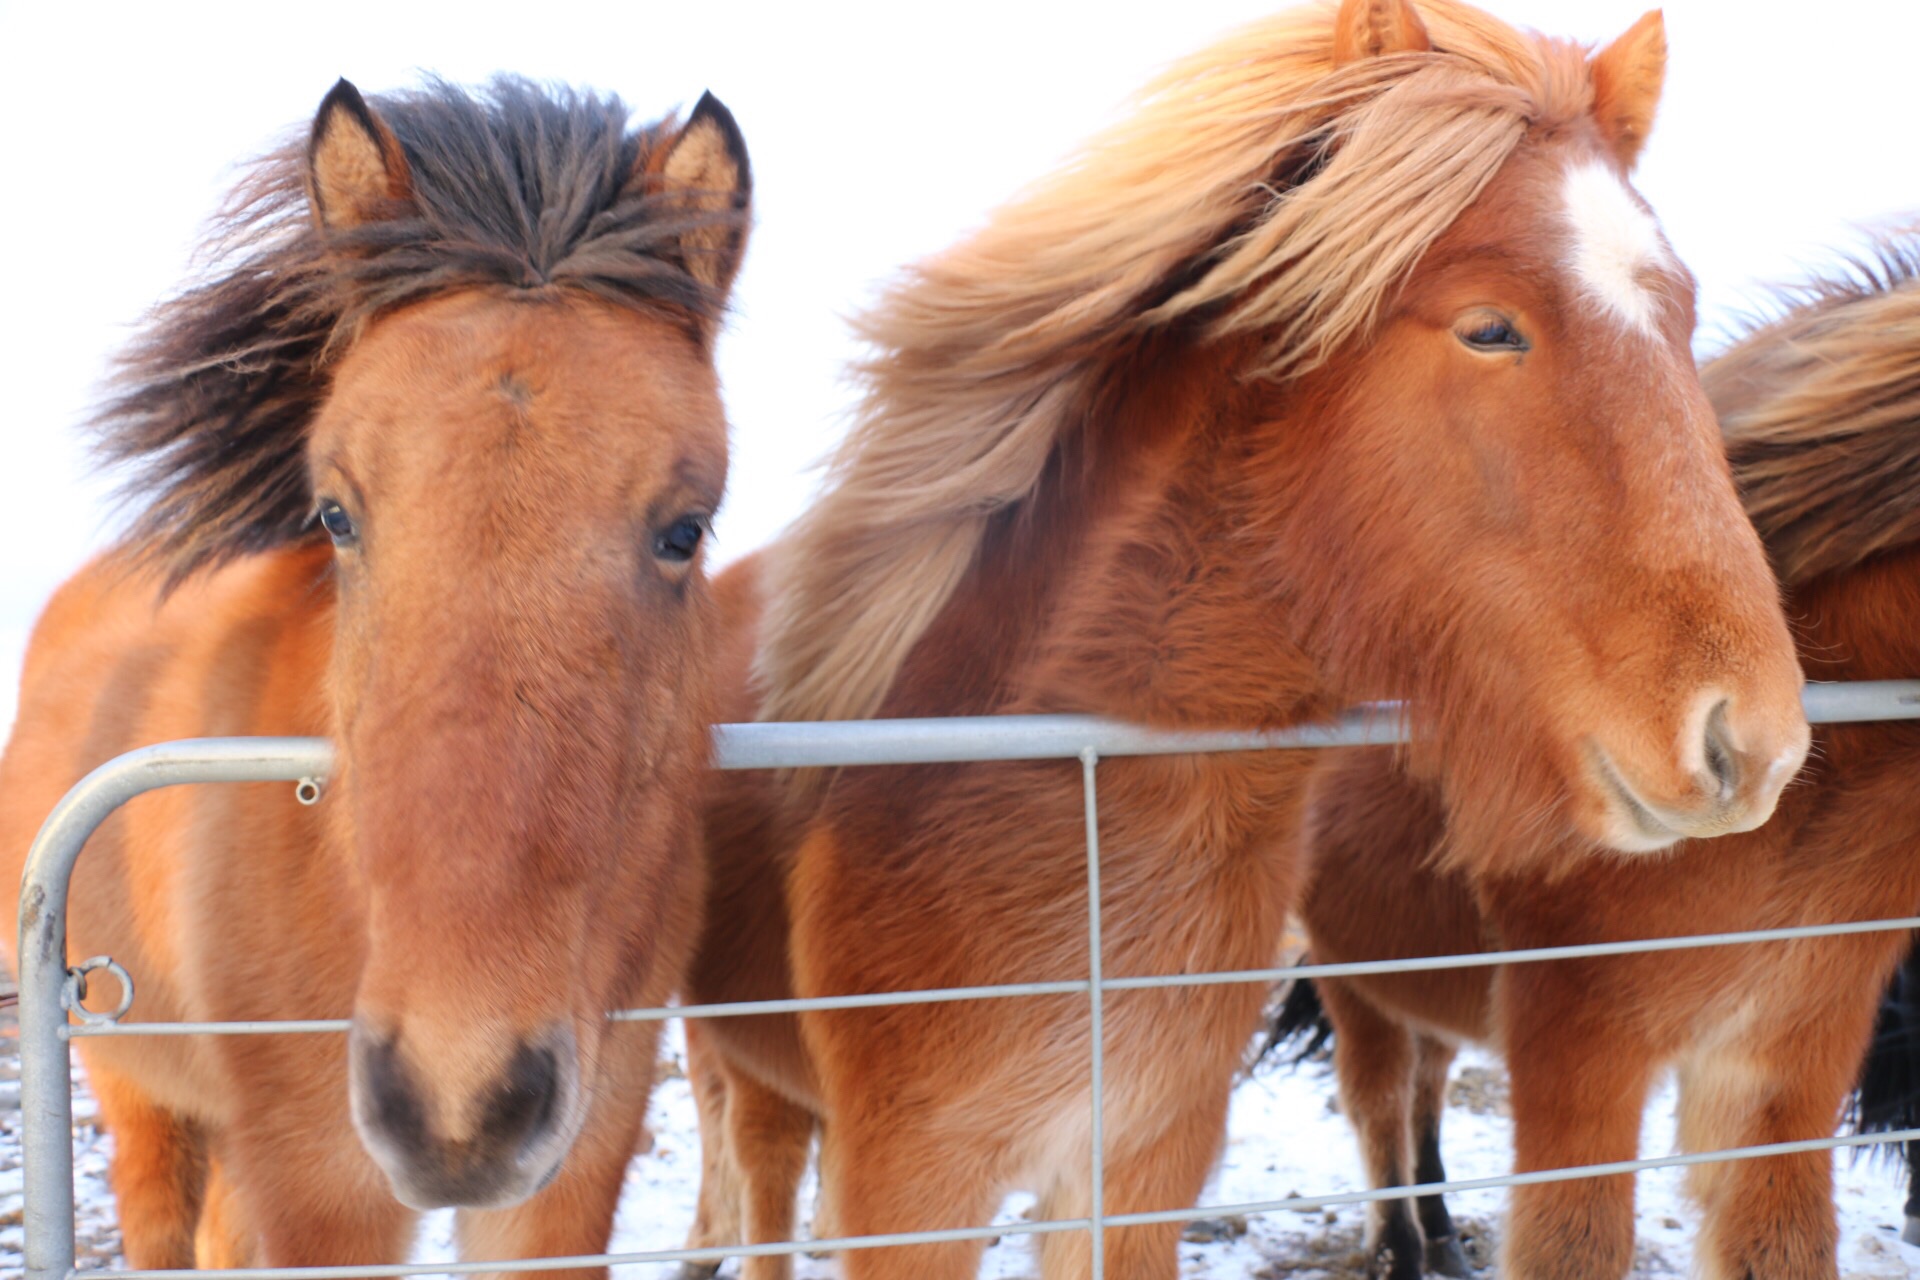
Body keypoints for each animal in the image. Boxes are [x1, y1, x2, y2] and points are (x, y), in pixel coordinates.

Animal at [0, 77, 748, 1274]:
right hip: (137, 1089)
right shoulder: (321, 1190)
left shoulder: (567, 1173)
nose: (458, 1104)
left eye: (685, 528)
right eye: (337, 514)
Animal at [1282, 233, 1920, 1280]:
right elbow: (1573, 1245)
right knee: (1377, 1100)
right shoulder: (1580, 1052)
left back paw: (1446, 1236)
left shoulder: (1783, 1067)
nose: (1738, 753)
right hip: (1352, 979)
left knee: (1422, 1089)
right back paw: (1404, 1246)